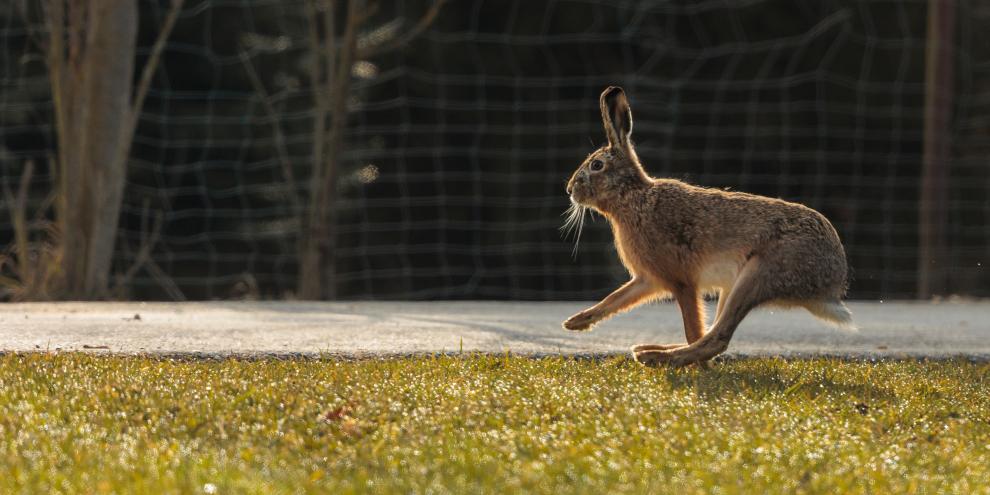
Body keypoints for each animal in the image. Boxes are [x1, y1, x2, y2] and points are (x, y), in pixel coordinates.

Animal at [561, 86, 852, 367]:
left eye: (596, 165)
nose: (570, 190)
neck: (634, 198)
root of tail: (834, 282)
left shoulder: (681, 281)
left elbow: (692, 327)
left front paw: (699, 372)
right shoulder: (648, 279)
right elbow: (615, 299)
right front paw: (576, 322)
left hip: (760, 274)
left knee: (716, 339)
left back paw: (657, 357)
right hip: (733, 286)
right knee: (713, 335)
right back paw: (651, 349)